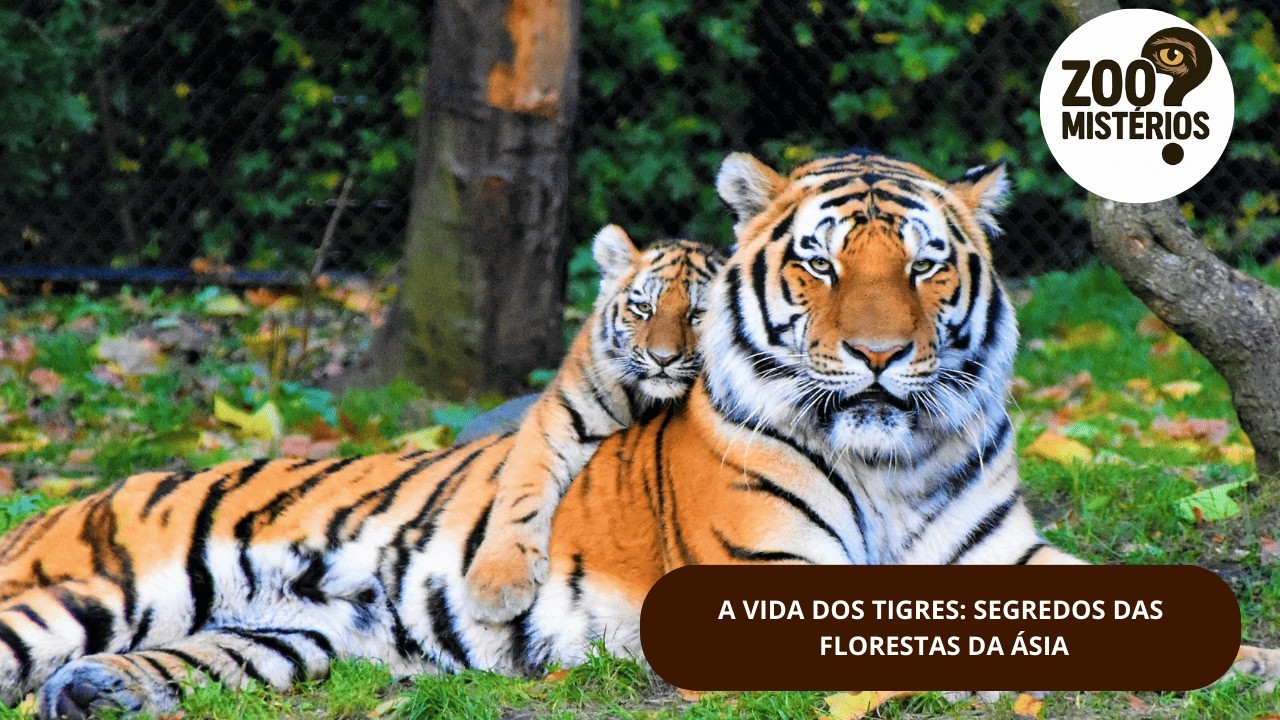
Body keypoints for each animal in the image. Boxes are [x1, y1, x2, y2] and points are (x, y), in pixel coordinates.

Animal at [462, 225, 723, 622]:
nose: (663, 359)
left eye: (698, 313)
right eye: (644, 308)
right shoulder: (556, 418)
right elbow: (522, 490)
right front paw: (497, 585)